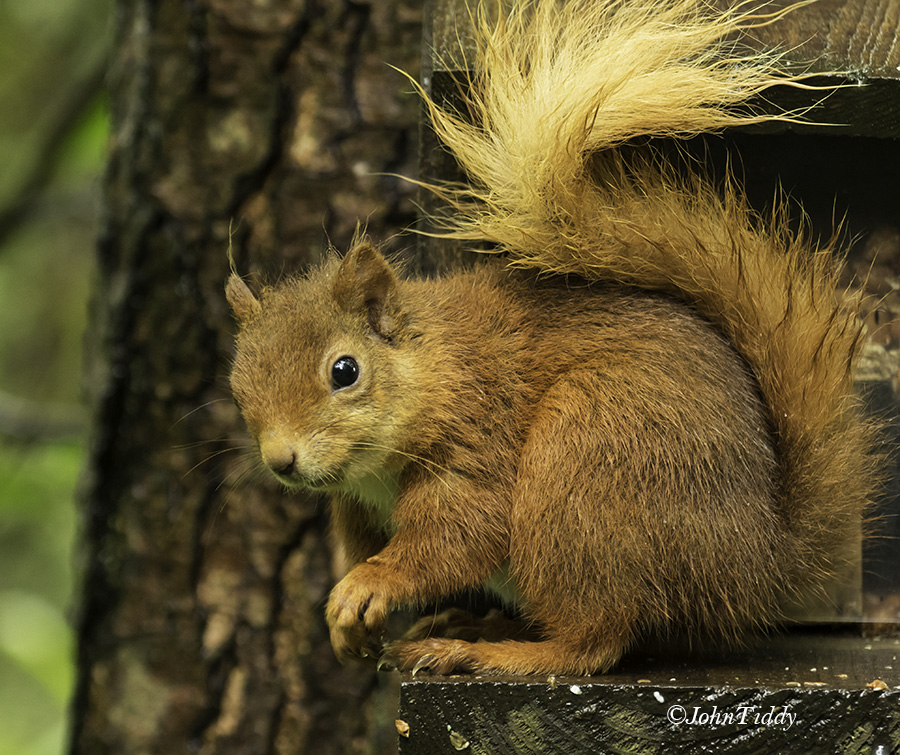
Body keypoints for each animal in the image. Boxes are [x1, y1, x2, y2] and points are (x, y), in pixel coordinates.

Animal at [225, 0, 880, 672]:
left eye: (345, 371)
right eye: (237, 384)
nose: (280, 460)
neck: (432, 368)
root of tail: (762, 563)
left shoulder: (478, 435)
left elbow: (461, 532)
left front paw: (368, 584)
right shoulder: (358, 505)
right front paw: (349, 626)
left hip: (585, 461)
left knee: (592, 639)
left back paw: (485, 652)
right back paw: (475, 624)